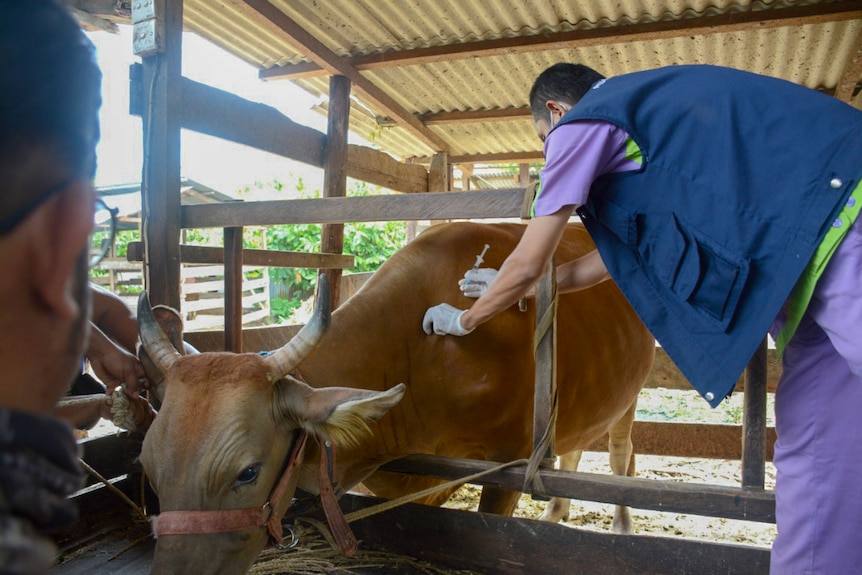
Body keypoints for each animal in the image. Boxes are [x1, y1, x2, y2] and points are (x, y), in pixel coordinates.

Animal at [140, 222, 656, 575]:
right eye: (147, 462)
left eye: (247, 472)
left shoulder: (507, 463)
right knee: (574, 446)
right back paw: (555, 511)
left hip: (631, 395)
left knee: (619, 454)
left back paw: (621, 526)